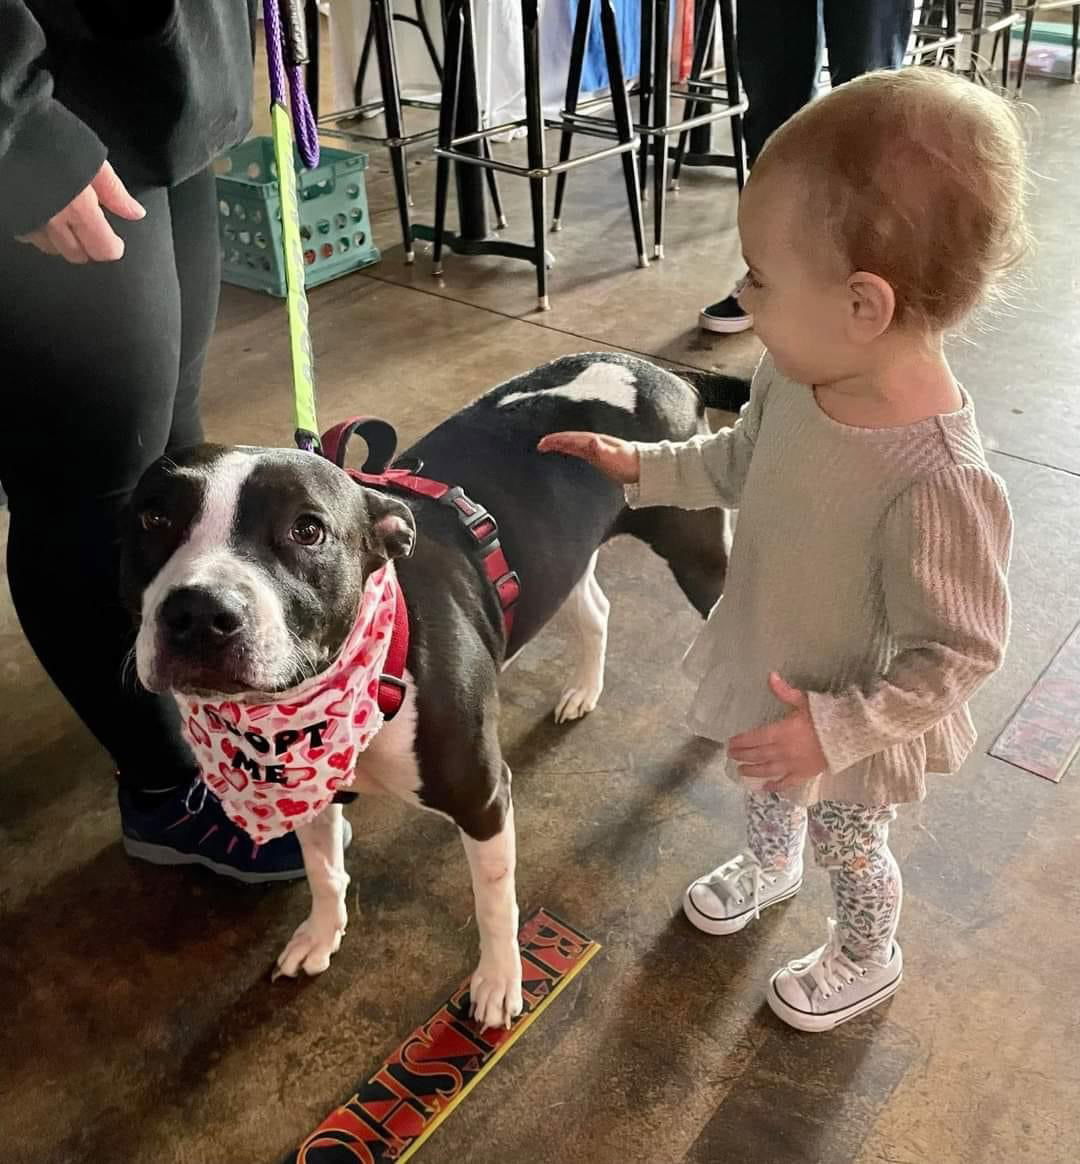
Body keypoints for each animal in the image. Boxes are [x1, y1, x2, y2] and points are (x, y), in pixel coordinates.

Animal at [122, 351, 740, 1028]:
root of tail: (653, 367)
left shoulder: (483, 798)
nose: (198, 612)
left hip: (698, 553)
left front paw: (499, 982)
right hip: (567, 559)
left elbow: (494, 902)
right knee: (596, 610)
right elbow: (323, 870)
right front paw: (322, 933)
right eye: (153, 518)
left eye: (308, 530)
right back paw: (582, 690)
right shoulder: (303, 787)